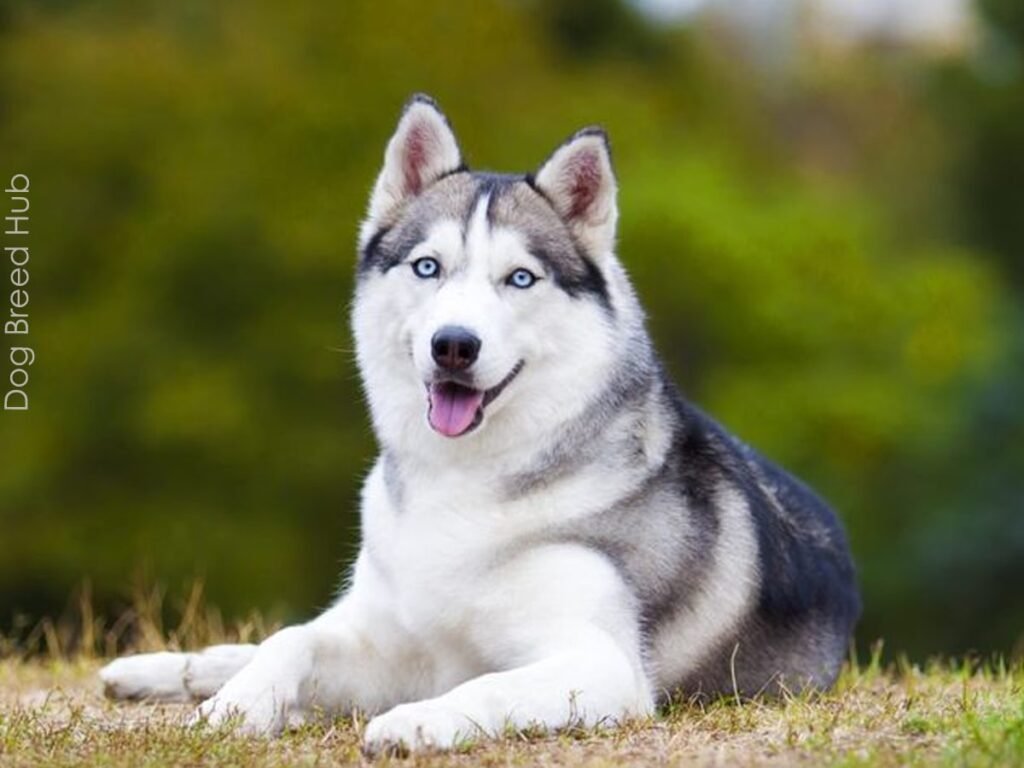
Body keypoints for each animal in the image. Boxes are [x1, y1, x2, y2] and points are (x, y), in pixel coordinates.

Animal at [99, 94, 860, 753]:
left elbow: (488, 685)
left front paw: (416, 722)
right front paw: (236, 706)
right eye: (427, 267)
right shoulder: (394, 639)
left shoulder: (601, 665)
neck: (463, 484)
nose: (454, 345)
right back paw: (165, 670)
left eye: (520, 278)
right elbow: (293, 639)